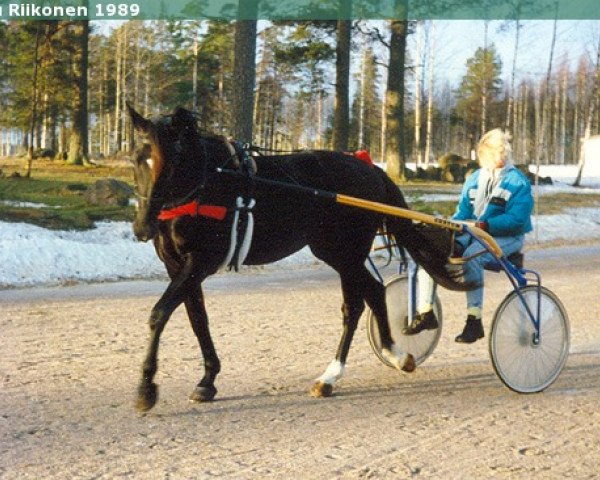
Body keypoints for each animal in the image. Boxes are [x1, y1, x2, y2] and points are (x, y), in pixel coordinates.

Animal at [127, 106, 474, 412]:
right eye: (136, 159)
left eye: (171, 162)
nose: (142, 227)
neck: (210, 180)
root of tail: (370, 168)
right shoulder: (178, 265)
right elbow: (198, 320)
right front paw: (207, 380)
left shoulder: (201, 260)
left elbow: (159, 314)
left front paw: (146, 388)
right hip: (336, 252)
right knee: (374, 292)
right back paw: (395, 354)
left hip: (347, 252)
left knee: (355, 305)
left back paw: (332, 375)